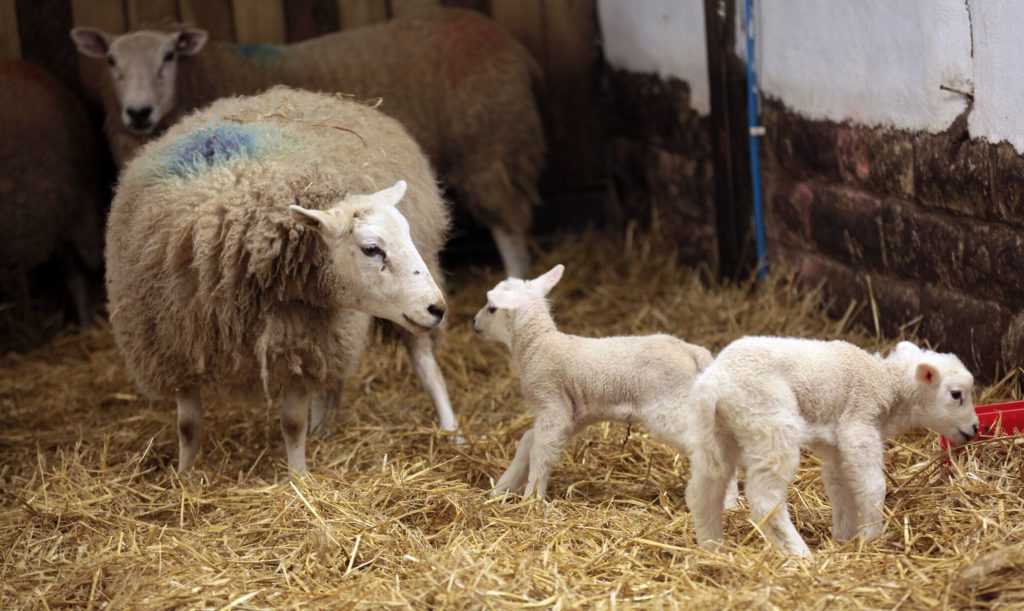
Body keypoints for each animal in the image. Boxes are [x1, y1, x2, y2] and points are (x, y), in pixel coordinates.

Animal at [70, 7, 544, 277]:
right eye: (111, 61)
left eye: (168, 57)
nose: (138, 113)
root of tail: (514, 46)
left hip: (488, 142)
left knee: (509, 222)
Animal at [108, 86, 459, 473]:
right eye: (371, 249)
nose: (437, 307)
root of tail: (336, 98)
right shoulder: (173, 347)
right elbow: (187, 425)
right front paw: (184, 474)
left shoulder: (303, 342)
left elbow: (291, 422)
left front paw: (298, 477)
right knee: (333, 383)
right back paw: (322, 430)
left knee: (428, 369)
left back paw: (452, 433)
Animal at [473, 264, 738, 503]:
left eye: (492, 308)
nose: (473, 322)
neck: (537, 345)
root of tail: (692, 352)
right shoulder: (571, 416)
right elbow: (528, 441)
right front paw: (503, 488)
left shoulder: (552, 403)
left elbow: (541, 452)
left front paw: (531, 499)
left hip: (671, 408)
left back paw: (727, 502)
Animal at [686, 337, 980, 557]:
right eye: (956, 395)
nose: (975, 429)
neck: (884, 382)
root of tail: (713, 381)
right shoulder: (859, 426)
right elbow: (873, 486)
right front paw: (871, 537)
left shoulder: (836, 446)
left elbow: (841, 488)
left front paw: (845, 537)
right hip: (770, 425)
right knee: (764, 498)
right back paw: (798, 552)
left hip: (720, 433)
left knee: (705, 490)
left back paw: (712, 546)